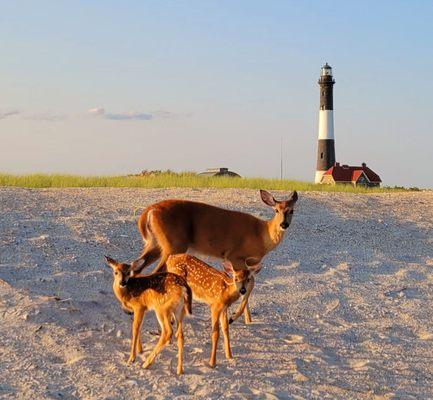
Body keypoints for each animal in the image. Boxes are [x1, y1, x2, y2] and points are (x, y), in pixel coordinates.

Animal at [130, 188, 296, 276]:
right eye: (276, 210)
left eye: (292, 211)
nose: (284, 224)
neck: (261, 234)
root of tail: (149, 211)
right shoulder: (235, 255)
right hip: (174, 244)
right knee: (154, 271)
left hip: (157, 243)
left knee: (136, 267)